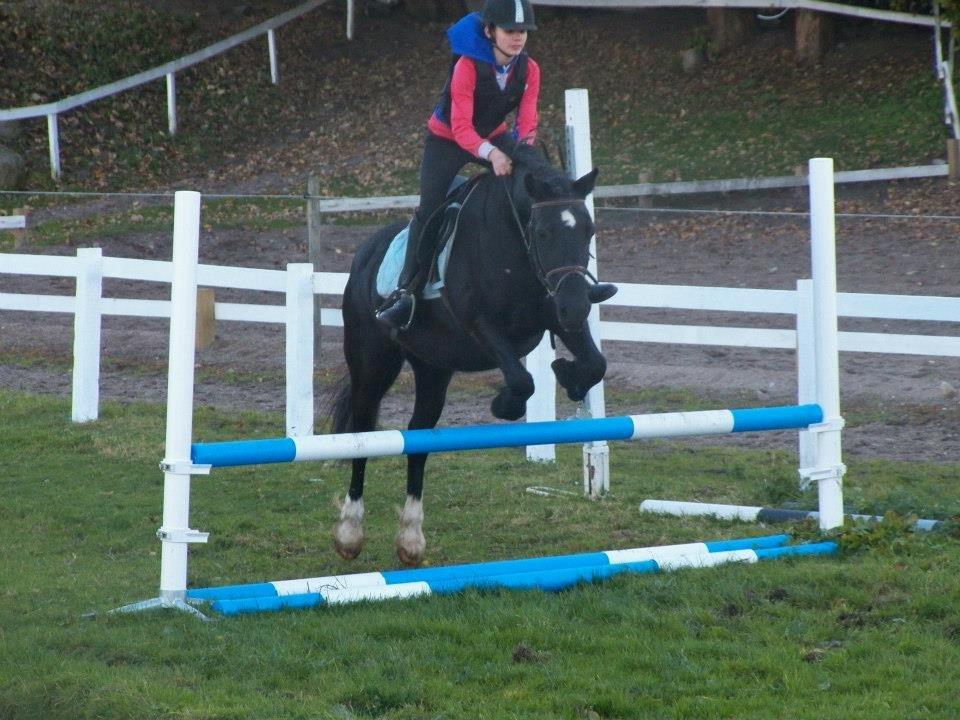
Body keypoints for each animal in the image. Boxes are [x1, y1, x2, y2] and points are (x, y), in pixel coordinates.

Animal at [328, 145, 608, 566]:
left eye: (588, 230)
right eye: (543, 232)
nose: (577, 306)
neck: (514, 242)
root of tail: (365, 254)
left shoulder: (554, 312)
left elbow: (595, 364)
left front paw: (569, 375)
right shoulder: (480, 323)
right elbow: (522, 381)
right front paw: (504, 404)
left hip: (433, 367)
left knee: (418, 436)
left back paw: (411, 539)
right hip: (373, 362)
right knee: (361, 432)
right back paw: (350, 532)